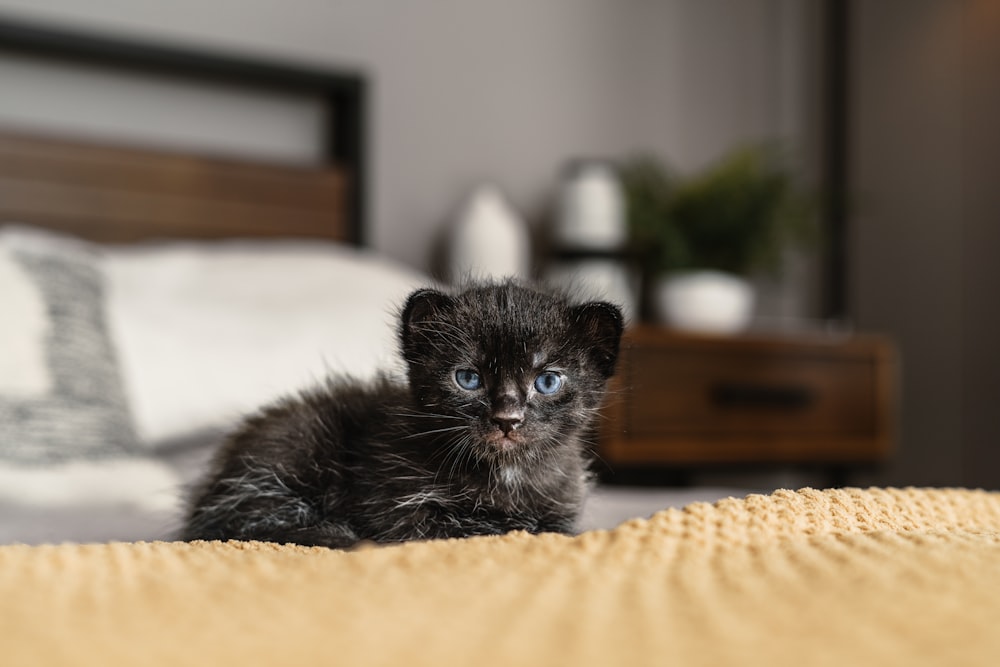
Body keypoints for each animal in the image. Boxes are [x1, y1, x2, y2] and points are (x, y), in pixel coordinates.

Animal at [183, 280, 620, 548]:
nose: (507, 419)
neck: (505, 475)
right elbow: (472, 528)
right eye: (468, 378)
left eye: (547, 381)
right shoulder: (399, 508)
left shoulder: (560, 511)